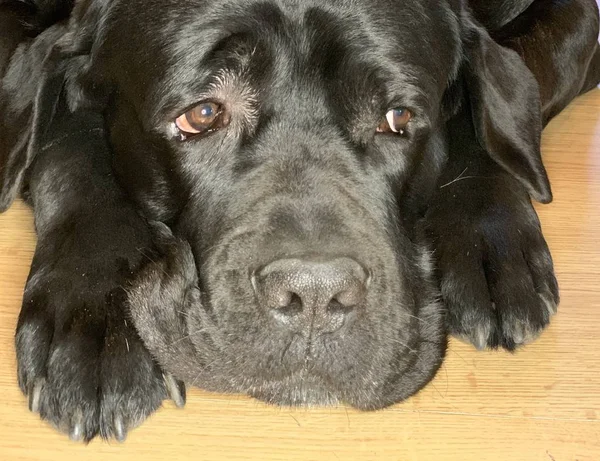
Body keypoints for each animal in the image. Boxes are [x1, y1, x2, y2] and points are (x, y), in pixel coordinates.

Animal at [0, 0, 596, 440]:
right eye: (202, 114)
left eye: (398, 117)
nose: (313, 295)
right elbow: (63, 136)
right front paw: (93, 313)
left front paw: (487, 234)